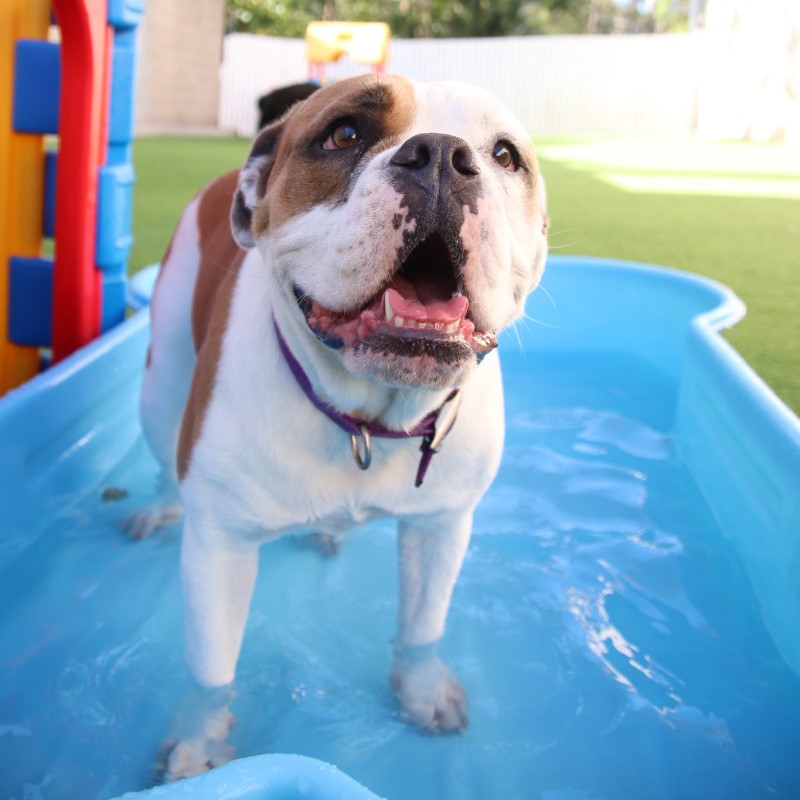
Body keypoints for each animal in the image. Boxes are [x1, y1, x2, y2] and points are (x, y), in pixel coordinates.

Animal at [138, 73, 552, 776]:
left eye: (504, 156)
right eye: (345, 134)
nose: (442, 155)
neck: (369, 417)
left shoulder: (442, 525)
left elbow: (423, 626)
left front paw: (421, 691)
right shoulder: (220, 544)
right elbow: (211, 671)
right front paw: (199, 743)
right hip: (160, 383)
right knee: (165, 452)